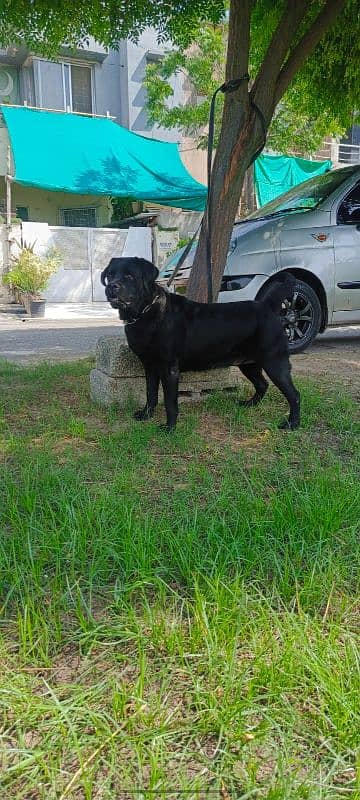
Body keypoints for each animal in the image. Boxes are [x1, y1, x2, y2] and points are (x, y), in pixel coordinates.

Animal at [100, 256, 300, 432]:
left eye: (129, 275)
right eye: (110, 274)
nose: (112, 286)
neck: (147, 312)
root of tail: (268, 306)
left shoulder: (169, 369)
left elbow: (170, 402)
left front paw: (170, 428)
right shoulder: (149, 366)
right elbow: (151, 394)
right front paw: (146, 415)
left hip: (274, 362)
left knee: (294, 394)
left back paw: (292, 424)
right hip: (248, 364)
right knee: (262, 385)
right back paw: (250, 404)